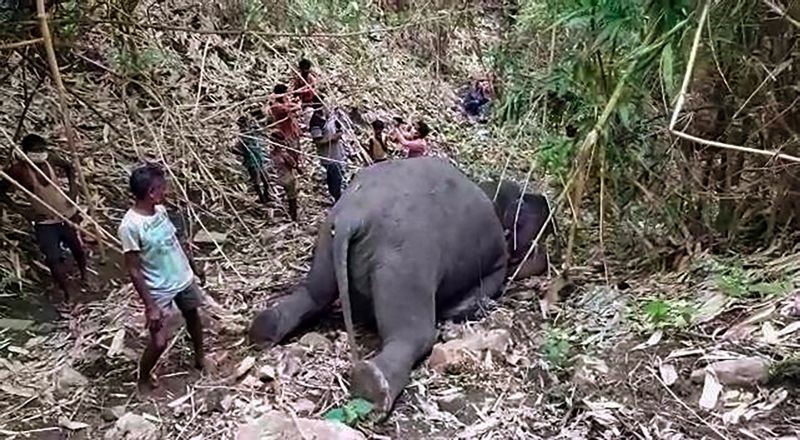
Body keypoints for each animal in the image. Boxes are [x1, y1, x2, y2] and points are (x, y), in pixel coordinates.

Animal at [249, 157, 553, 414]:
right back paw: (374, 386)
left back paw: (264, 329)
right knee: (413, 334)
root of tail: (353, 215)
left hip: (326, 240)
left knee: (314, 294)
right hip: (405, 263)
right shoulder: (496, 262)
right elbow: (488, 286)